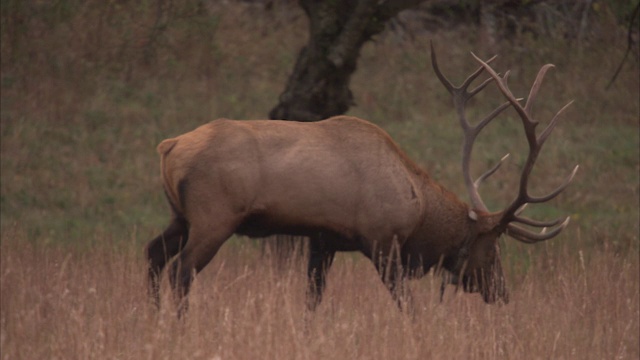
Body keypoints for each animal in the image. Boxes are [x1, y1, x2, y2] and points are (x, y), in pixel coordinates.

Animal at [146, 45, 580, 314]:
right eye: (492, 250)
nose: (503, 293)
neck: (418, 209)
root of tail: (169, 146)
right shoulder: (382, 240)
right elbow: (409, 307)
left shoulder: (323, 240)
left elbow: (312, 301)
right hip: (214, 216)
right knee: (180, 270)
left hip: (180, 216)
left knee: (153, 253)